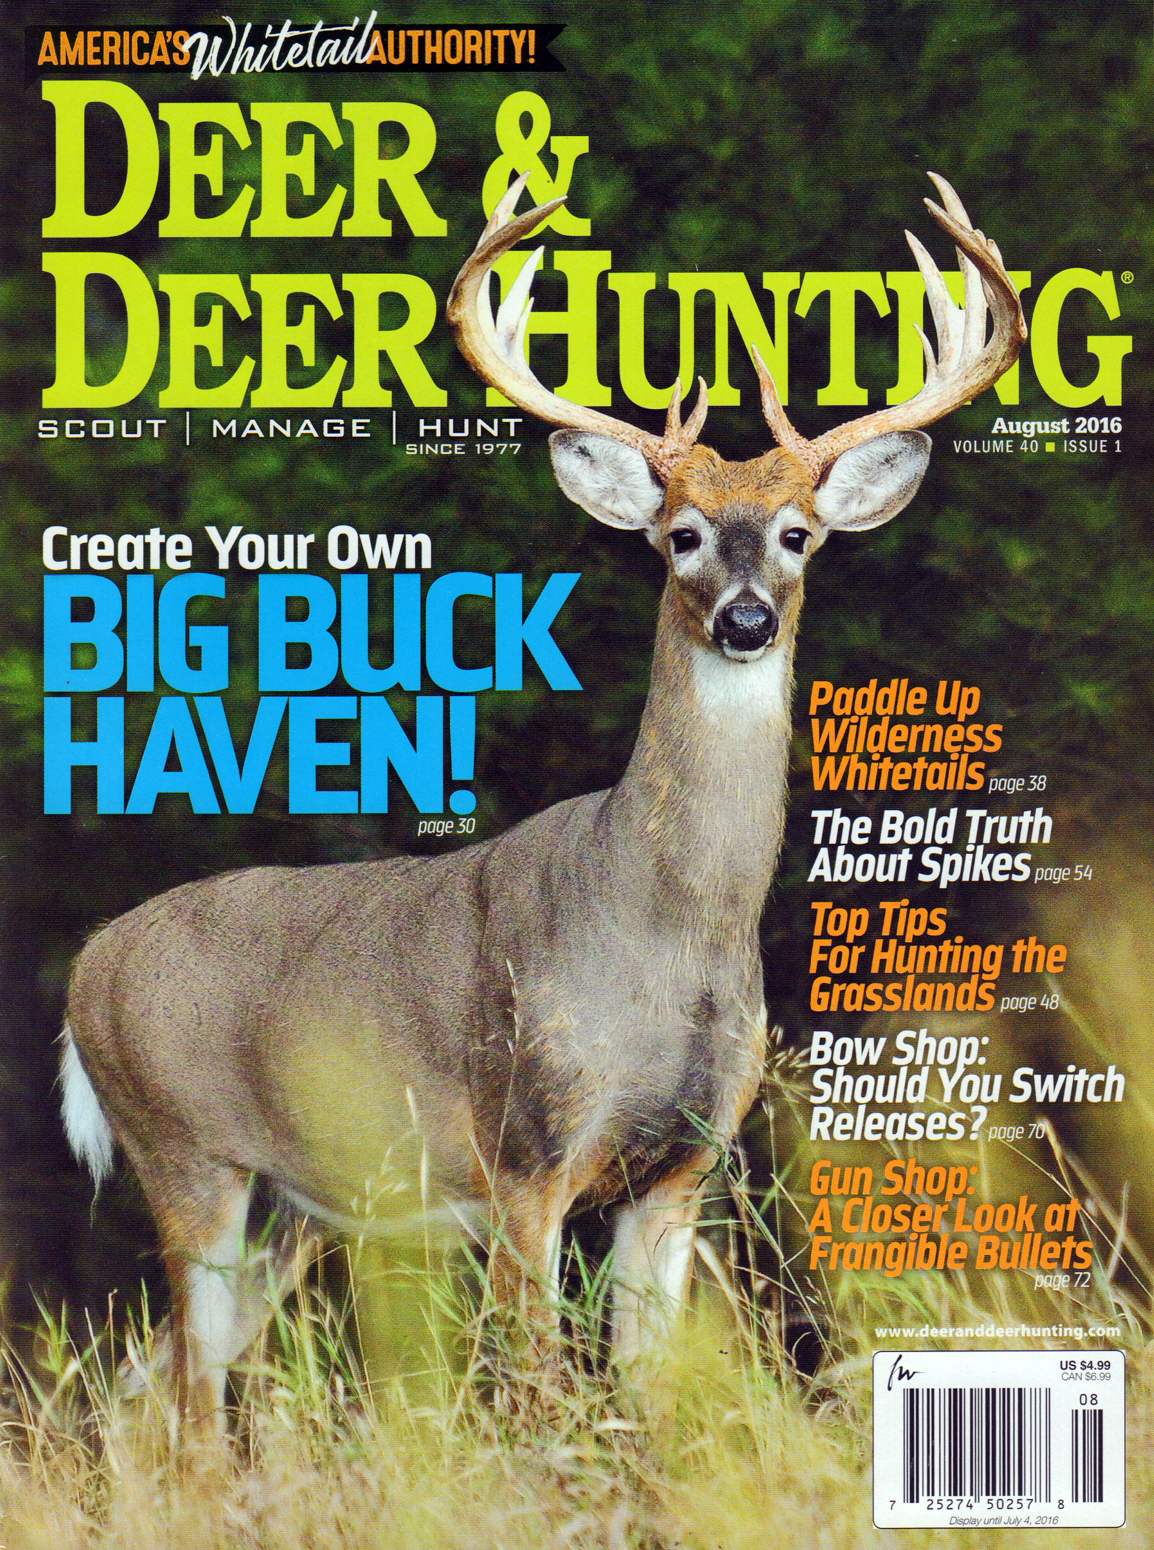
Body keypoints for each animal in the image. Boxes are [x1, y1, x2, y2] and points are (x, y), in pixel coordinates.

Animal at [59, 172, 1025, 1437]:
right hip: (185, 1151)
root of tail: (83, 970)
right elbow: (540, 1397)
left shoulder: (680, 1171)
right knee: (181, 1404)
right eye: (679, 534)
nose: (745, 619)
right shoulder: (524, 1146)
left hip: (293, 1205)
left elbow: (646, 1400)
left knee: (142, 1385)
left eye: (797, 535)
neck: (665, 929)